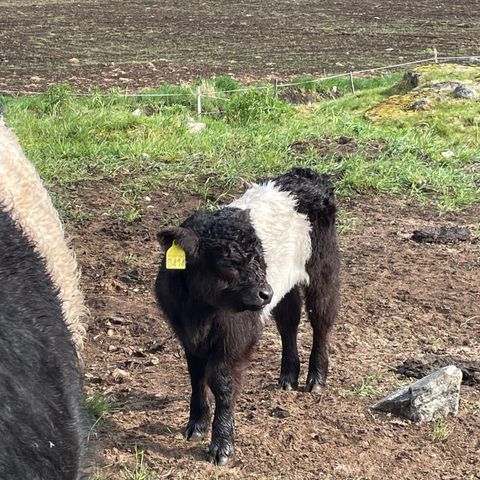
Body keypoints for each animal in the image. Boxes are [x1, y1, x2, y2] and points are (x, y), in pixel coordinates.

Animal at [156, 168, 340, 464]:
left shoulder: (236, 336)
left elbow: (221, 380)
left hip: (323, 268)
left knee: (322, 318)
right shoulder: (186, 334)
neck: (199, 311)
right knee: (289, 321)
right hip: (286, 286)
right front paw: (196, 424)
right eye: (229, 262)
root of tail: (304, 175)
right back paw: (288, 376)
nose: (265, 292)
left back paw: (316, 378)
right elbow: (196, 374)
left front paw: (221, 444)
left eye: (259, 257)